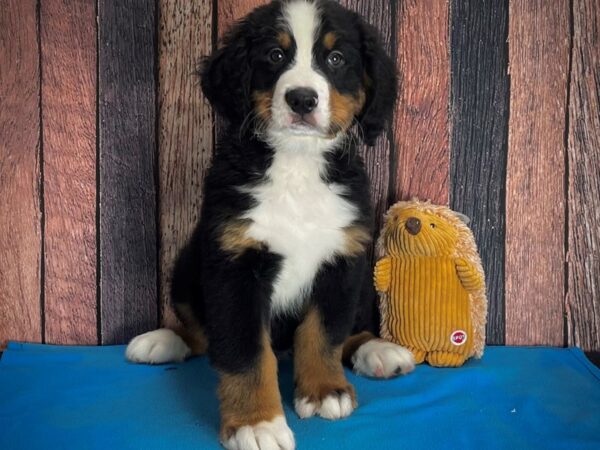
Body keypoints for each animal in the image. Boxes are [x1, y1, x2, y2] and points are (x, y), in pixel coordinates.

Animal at [125, 1, 418, 448]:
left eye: (336, 59)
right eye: (275, 55)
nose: (302, 99)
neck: (296, 164)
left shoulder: (340, 261)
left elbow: (324, 333)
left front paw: (324, 390)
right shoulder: (234, 267)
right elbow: (244, 352)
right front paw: (257, 423)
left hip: (364, 275)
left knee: (353, 328)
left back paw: (378, 350)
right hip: (188, 264)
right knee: (202, 333)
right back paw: (162, 340)